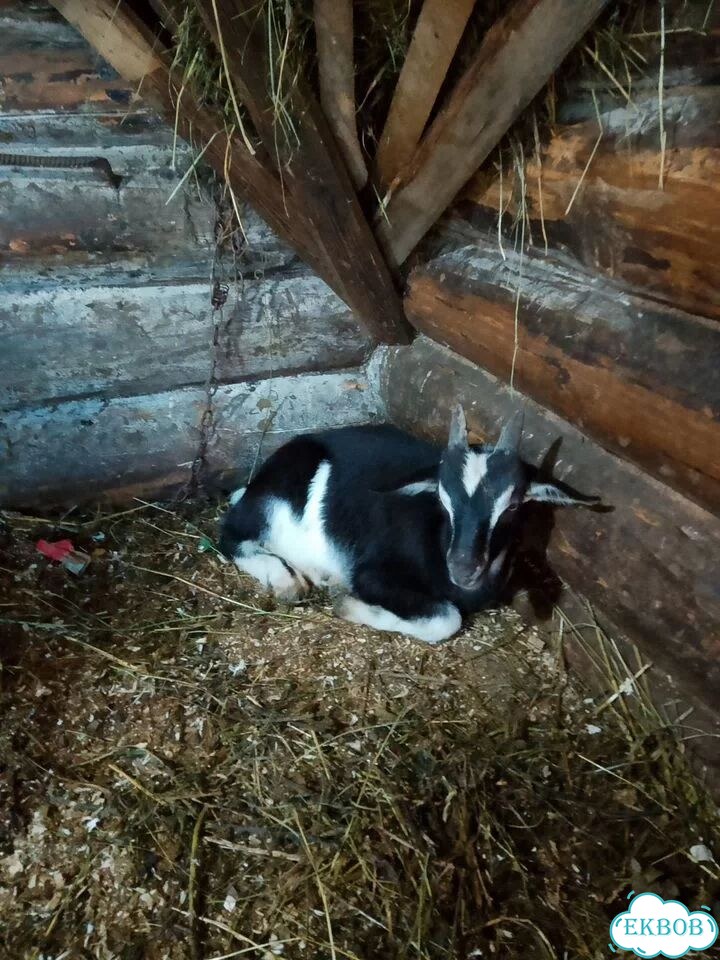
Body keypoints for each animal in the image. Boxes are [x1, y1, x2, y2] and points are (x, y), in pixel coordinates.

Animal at [219, 407, 598, 644]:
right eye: (442, 498)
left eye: (513, 505)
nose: (463, 568)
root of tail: (255, 483)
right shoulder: (373, 574)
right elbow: (446, 619)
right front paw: (351, 606)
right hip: (273, 502)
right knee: (230, 535)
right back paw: (286, 581)